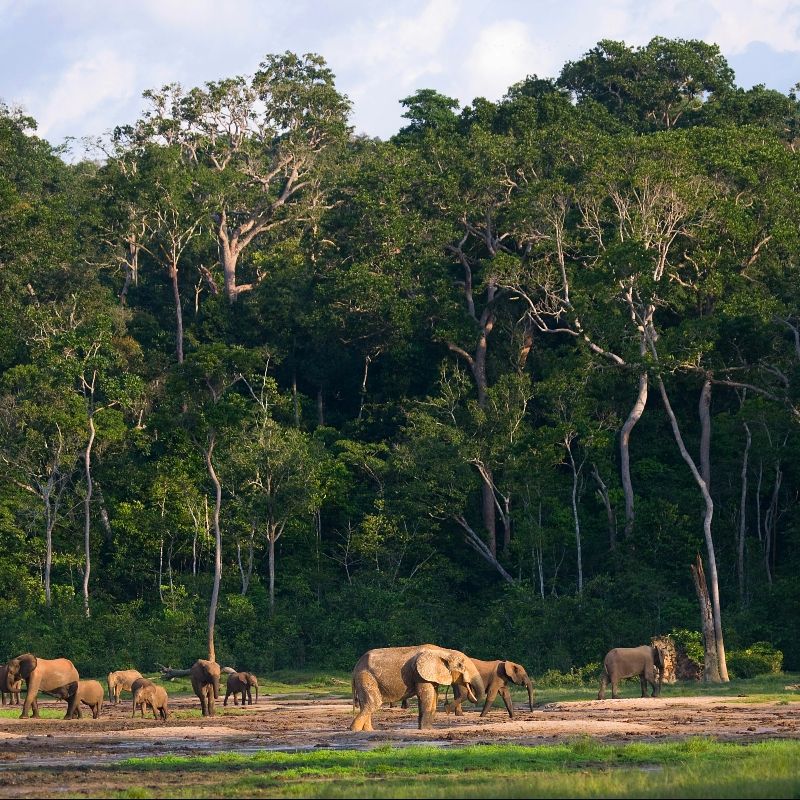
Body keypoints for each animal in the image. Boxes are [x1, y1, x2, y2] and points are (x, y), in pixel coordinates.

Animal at [350, 644, 484, 731]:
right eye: (461, 665)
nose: (446, 709)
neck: (443, 651)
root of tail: (355, 667)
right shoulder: (420, 675)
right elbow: (427, 696)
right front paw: (426, 730)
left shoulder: (429, 676)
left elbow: (433, 697)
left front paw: (427, 729)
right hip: (365, 677)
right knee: (374, 703)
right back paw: (354, 730)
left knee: (366, 704)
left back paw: (368, 731)